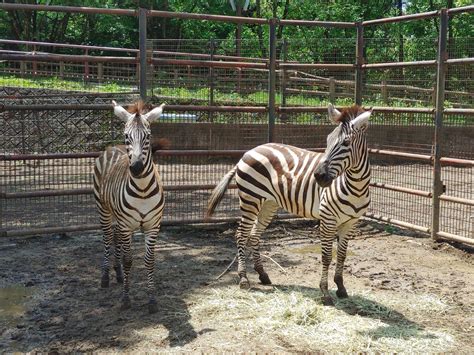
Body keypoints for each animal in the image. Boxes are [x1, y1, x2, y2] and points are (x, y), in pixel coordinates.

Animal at [93, 100, 166, 314]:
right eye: (127, 135)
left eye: (148, 136)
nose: (136, 168)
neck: (142, 190)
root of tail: (113, 147)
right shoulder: (127, 225)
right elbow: (128, 260)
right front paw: (125, 298)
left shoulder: (153, 226)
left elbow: (149, 261)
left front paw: (152, 299)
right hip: (104, 210)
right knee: (108, 237)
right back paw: (106, 276)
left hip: (119, 219)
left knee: (115, 237)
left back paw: (117, 274)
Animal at [207, 103, 374, 306]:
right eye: (327, 141)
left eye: (346, 143)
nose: (318, 176)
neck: (356, 187)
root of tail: (249, 151)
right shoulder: (328, 220)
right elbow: (327, 256)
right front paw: (325, 293)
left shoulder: (351, 222)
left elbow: (342, 255)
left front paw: (341, 288)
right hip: (250, 199)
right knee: (241, 235)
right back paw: (244, 279)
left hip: (268, 204)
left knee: (254, 235)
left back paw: (263, 275)